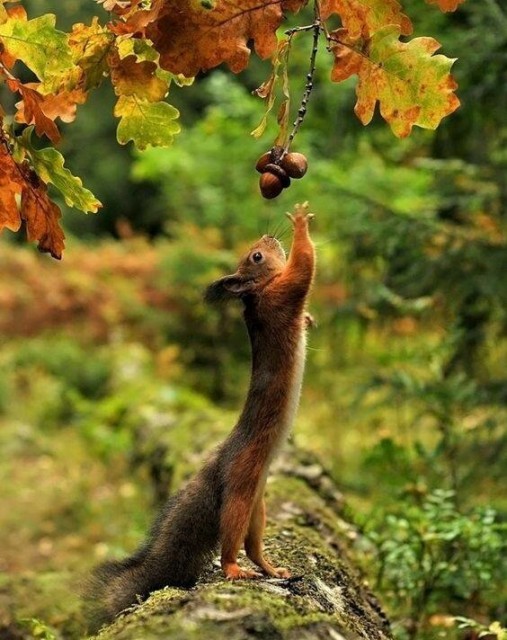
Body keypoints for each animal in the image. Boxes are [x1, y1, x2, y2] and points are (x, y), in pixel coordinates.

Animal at [84, 203, 316, 631]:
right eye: (256, 257)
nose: (268, 237)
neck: (255, 295)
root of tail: (219, 465)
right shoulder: (281, 295)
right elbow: (303, 269)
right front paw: (300, 225)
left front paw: (310, 320)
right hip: (240, 490)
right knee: (230, 543)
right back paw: (234, 571)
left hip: (257, 505)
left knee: (252, 545)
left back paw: (271, 569)